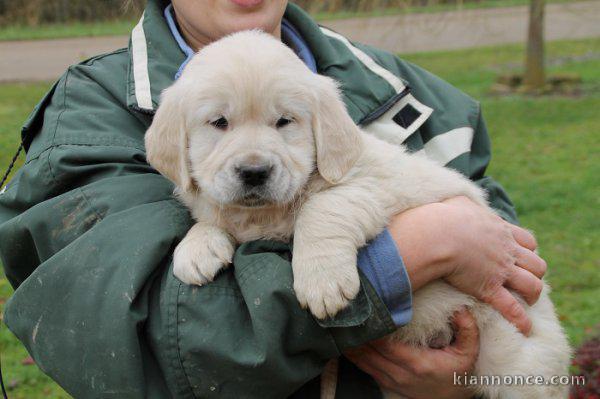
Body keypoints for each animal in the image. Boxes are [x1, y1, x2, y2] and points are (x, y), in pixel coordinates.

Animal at [145, 29, 572, 398]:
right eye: (219, 122)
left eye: (285, 121)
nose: (254, 172)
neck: (269, 214)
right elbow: (214, 215)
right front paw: (197, 248)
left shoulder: (373, 185)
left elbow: (321, 208)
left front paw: (322, 282)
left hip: (517, 359)